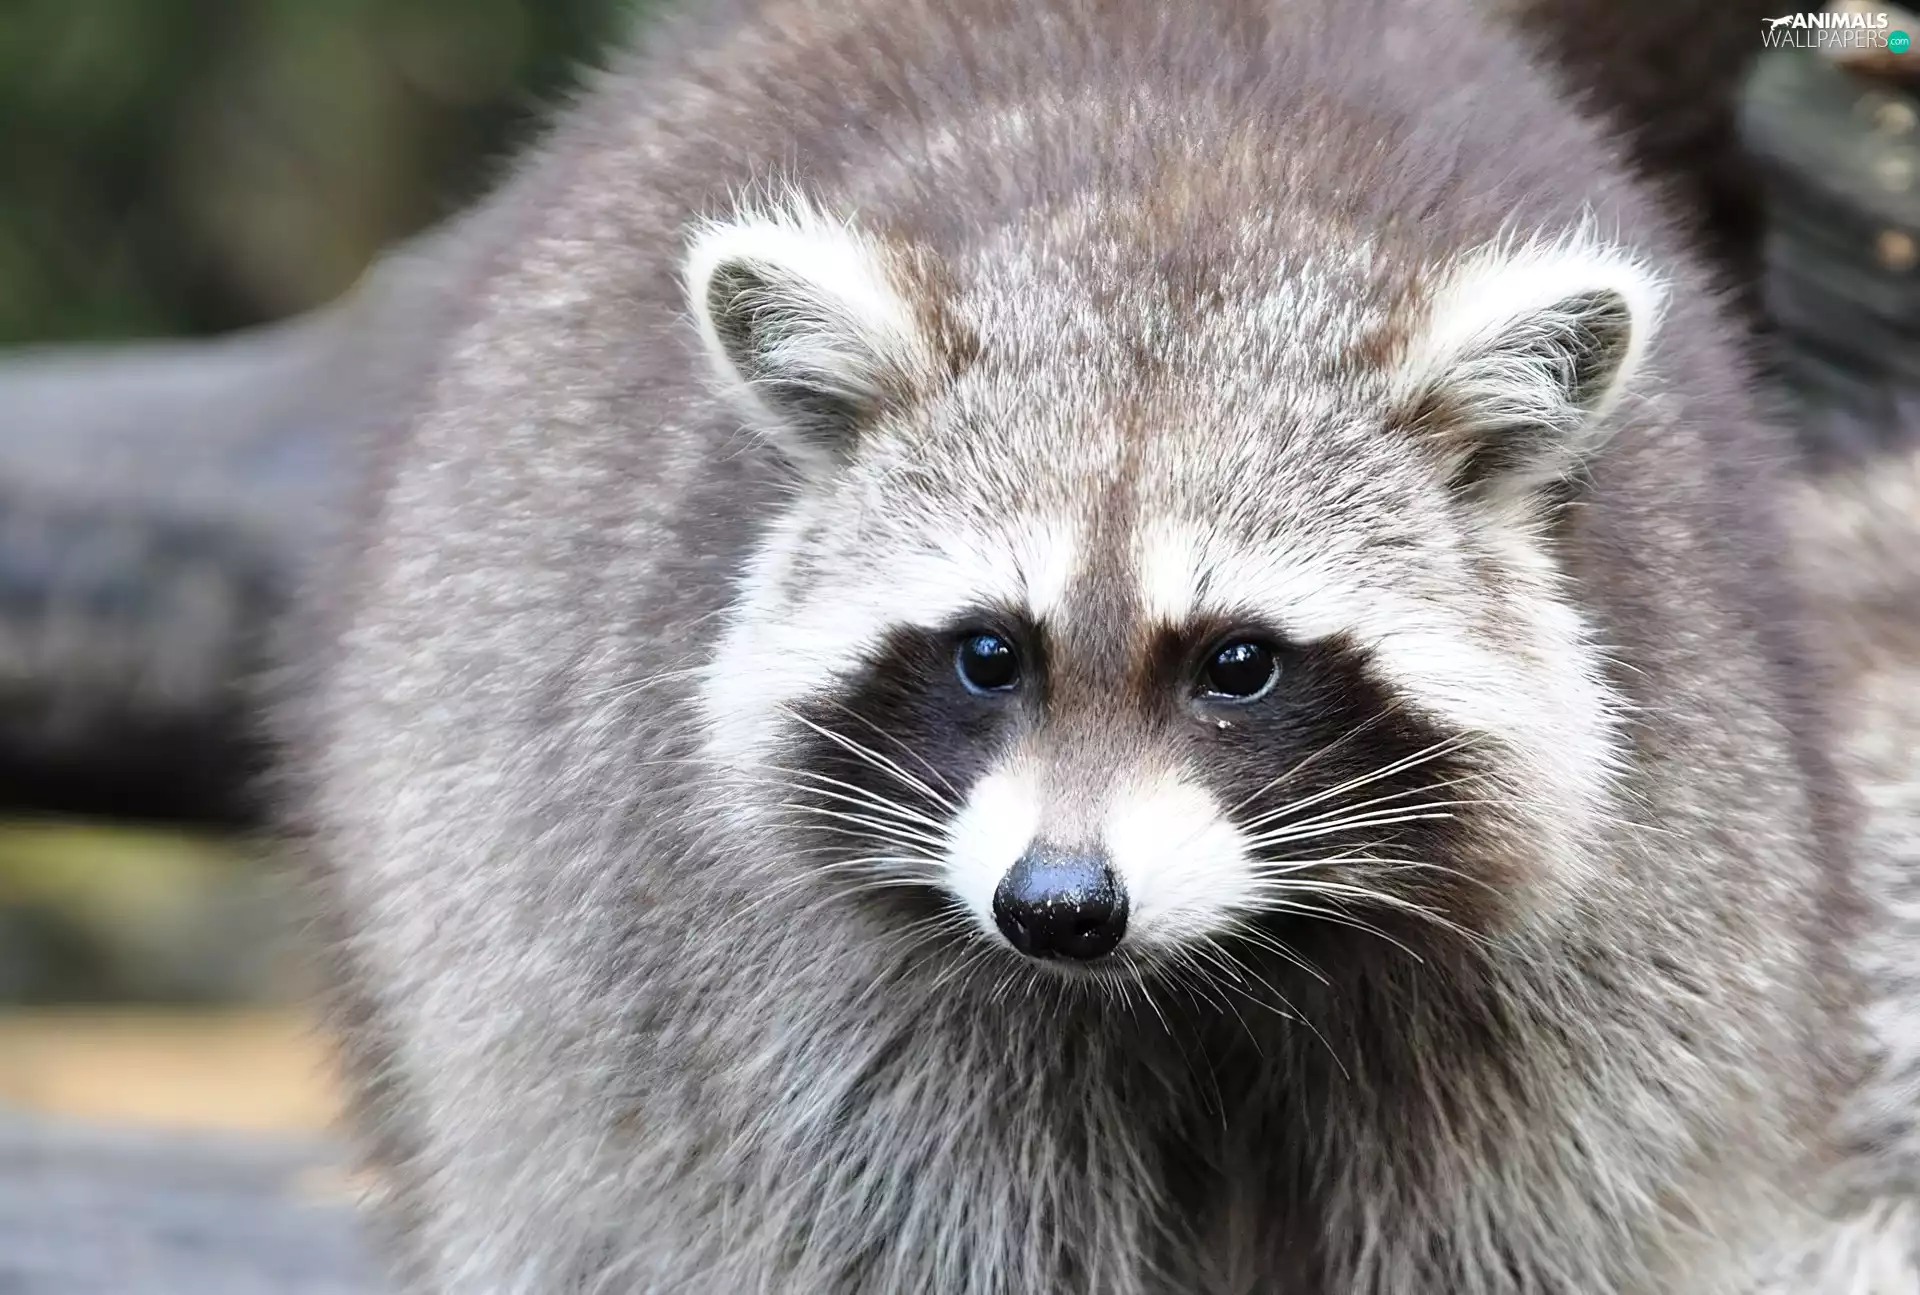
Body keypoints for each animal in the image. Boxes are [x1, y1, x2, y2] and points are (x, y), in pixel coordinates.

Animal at [288, 0, 1861, 1289]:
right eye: (991, 653)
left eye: (1238, 663)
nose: (1057, 904)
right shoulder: (810, 1006)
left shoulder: (1611, 952)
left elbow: (1550, 1217)